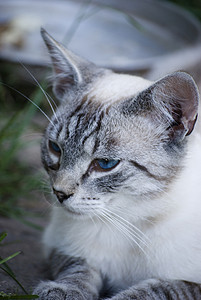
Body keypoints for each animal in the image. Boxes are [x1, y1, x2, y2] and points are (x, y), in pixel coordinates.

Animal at [33, 28, 201, 300]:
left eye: (106, 163)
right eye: (55, 148)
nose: (59, 193)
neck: (127, 218)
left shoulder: (191, 284)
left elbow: (156, 288)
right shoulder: (60, 246)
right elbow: (79, 269)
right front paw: (64, 291)